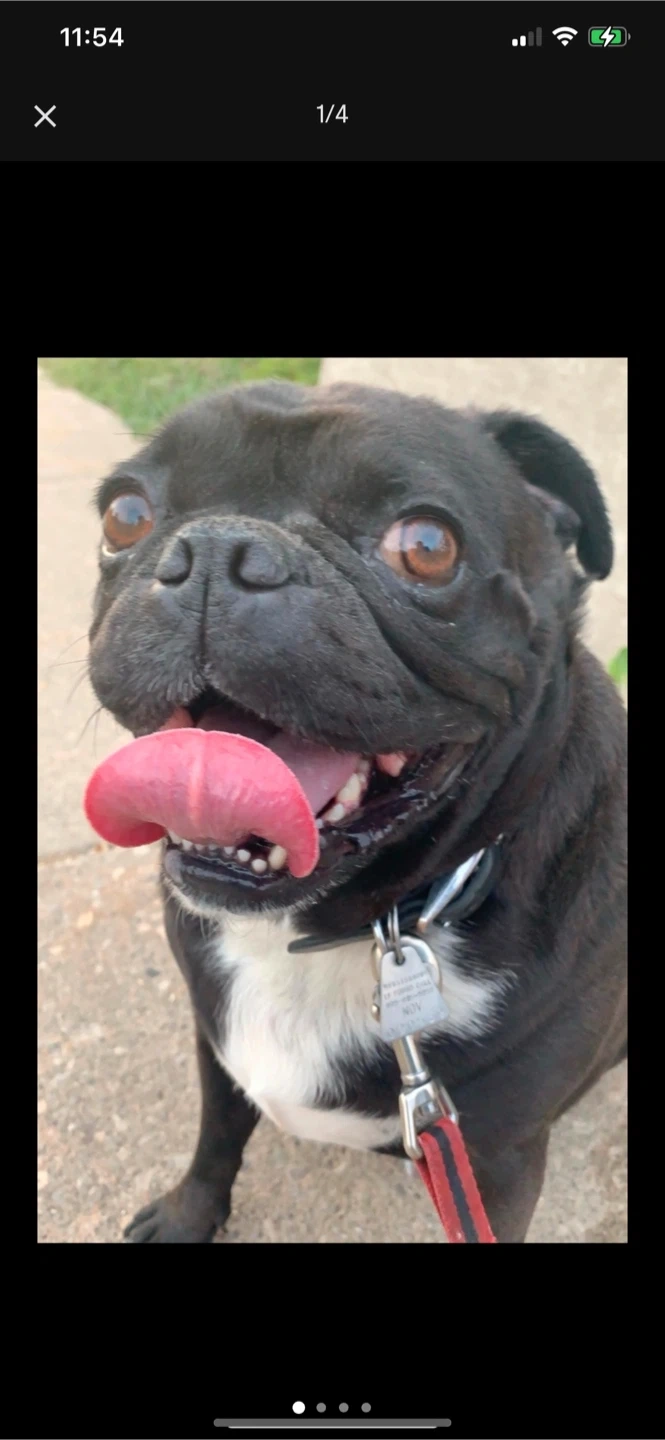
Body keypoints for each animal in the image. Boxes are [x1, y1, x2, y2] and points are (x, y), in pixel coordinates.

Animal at [85, 380, 627, 1243]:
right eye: (125, 516)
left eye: (427, 545)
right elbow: (215, 1137)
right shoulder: (214, 1044)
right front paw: (187, 1214)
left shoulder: (497, 1162)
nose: (218, 551)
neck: (343, 930)